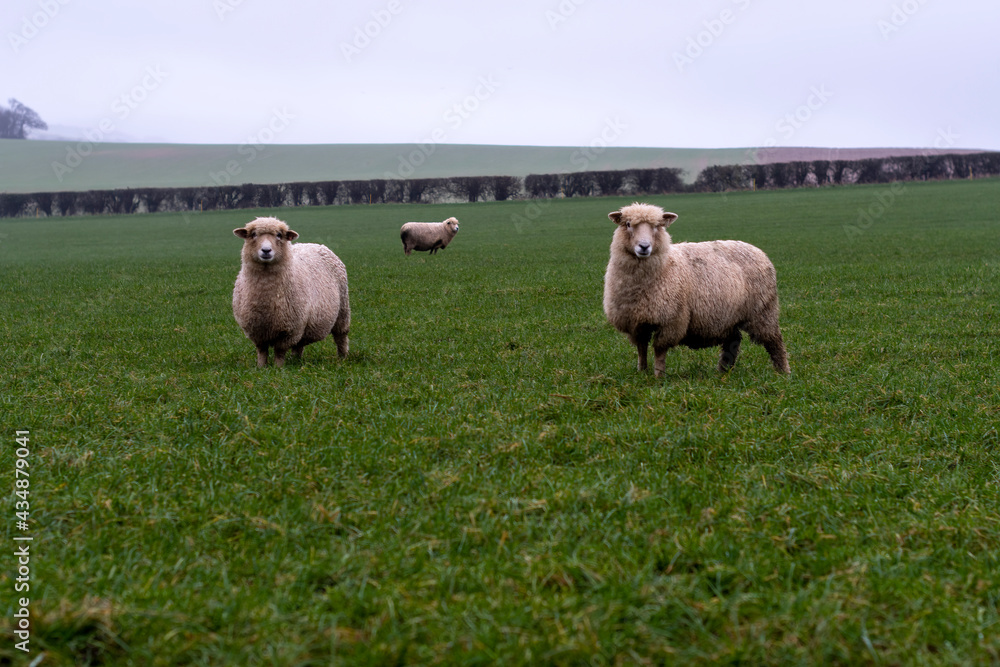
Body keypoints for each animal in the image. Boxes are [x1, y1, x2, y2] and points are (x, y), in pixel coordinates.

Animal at [232, 217, 350, 368]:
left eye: (279, 235)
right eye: (253, 234)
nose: (266, 250)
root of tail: (315, 244)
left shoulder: (289, 330)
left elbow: (279, 351)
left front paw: (278, 368)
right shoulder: (256, 331)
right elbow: (262, 351)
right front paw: (261, 367)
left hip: (342, 309)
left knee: (341, 336)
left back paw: (342, 357)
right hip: (305, 324)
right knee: (299, 344)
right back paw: (296, 360)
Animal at [603, 202, 789, 377]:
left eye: (657, 226)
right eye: (627, 224)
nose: (644, 246)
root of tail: (756, 249)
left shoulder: (672, 321)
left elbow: (659, 350)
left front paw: (658, 376)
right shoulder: (636, 321)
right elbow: (641, 349)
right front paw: (642, 372)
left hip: (763, 310)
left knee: (774, 341)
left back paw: (783, 372)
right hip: (729, 315)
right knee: (733, 341)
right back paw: (723, 371)